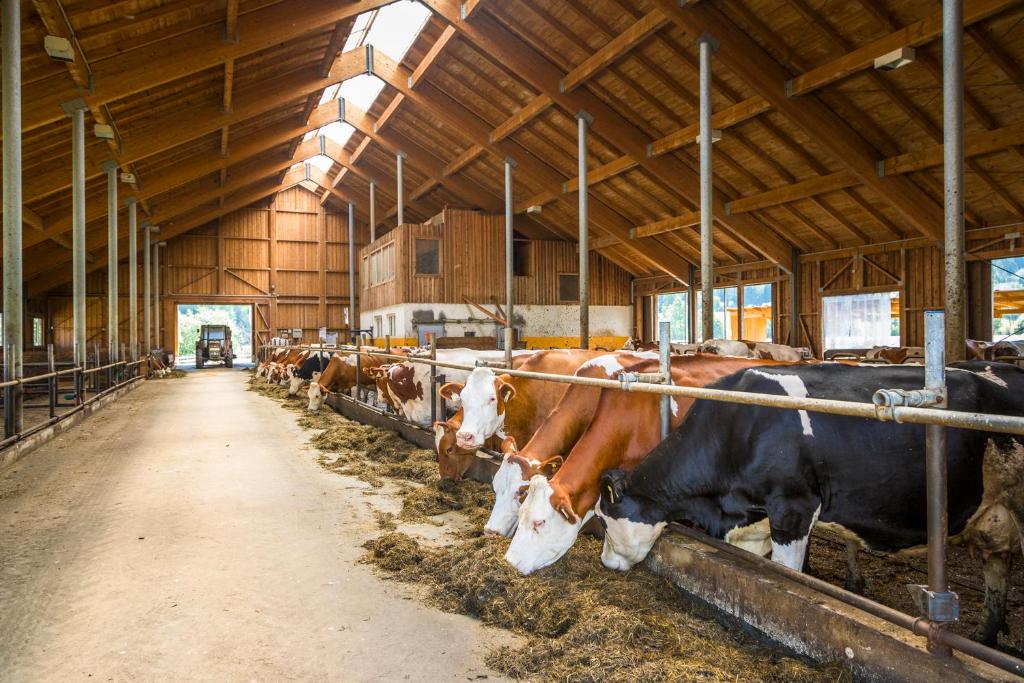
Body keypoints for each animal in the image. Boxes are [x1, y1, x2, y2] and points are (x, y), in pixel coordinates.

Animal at [598, 362, 1019, 647]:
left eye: (604, 520)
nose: (604, 563)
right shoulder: (751, 522)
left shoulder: (793, 510)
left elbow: (786, 577)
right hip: (994, 517)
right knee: (997, 565)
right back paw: (983, 637)